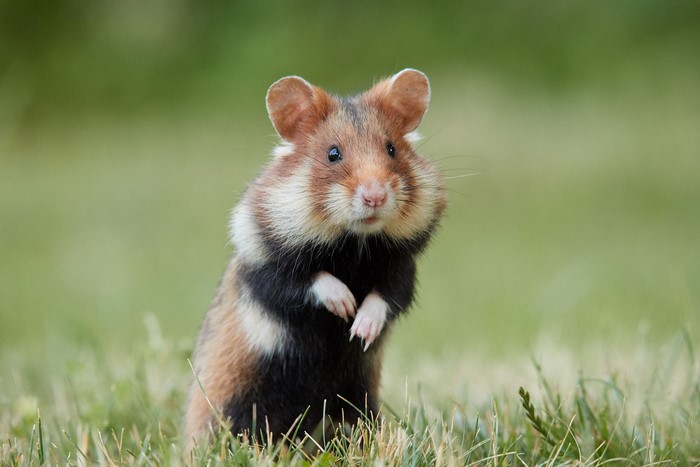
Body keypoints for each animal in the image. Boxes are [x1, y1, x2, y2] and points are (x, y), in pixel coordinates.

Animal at [184, 68, 446, 450]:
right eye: (333, 153)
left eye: (392, 149)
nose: (375, 196)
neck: (354, 243)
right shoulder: (265, 266)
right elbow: (309, 281)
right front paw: (345, 306)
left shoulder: (402, 271)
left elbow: (384, 298)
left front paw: (359, 330)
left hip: (357, 396)